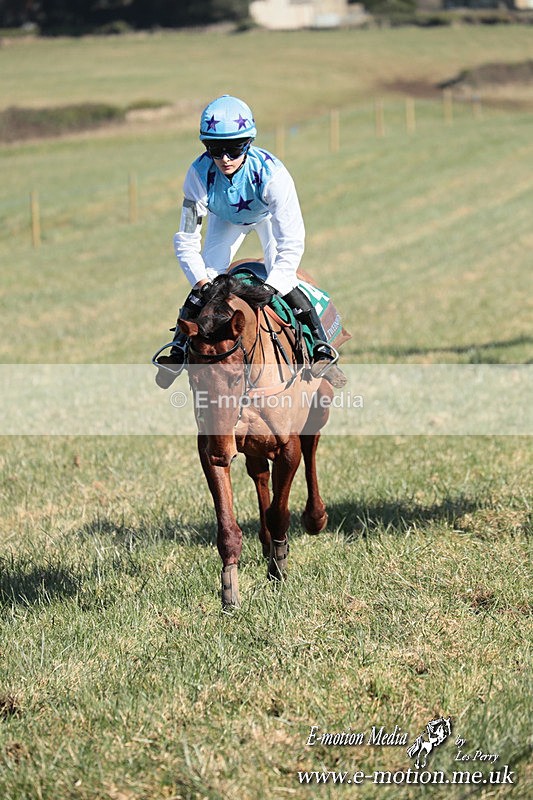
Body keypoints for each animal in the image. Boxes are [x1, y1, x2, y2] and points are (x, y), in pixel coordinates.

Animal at [178, 273, 334, 608]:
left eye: (236, 377)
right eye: (195, 379)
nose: (221, 452)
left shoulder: (287, 446)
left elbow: (278, 511)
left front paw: (278, 568)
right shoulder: (209, 447)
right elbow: (227, 526)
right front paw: (229, 591)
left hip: (320, 408)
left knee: (311, 449)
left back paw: (314, 518)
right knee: (260, 474)